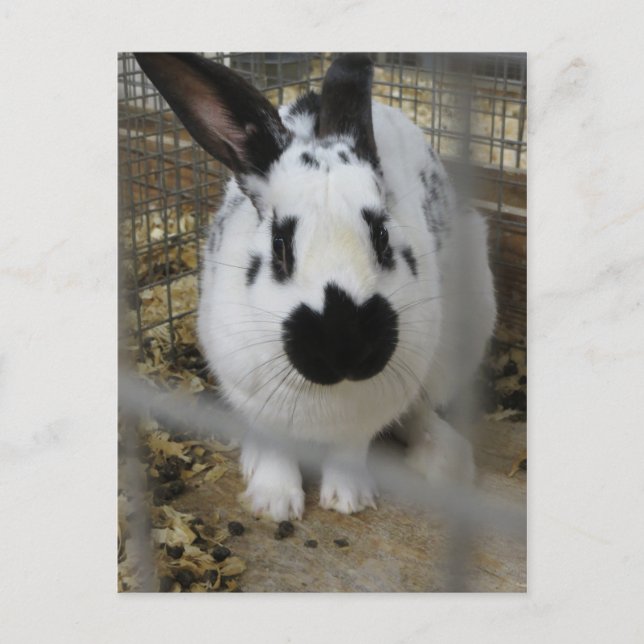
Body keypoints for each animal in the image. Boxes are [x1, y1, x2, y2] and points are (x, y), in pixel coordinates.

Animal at [134, 53, 496, 521]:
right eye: (280, 246)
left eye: (382, 237)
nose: (345, 348)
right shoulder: (251, 394)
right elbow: (275, 448)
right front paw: (274, 503)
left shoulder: (368, 413)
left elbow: (350, 450)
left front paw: (349, 500)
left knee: (420, 410)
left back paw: (446, 461)